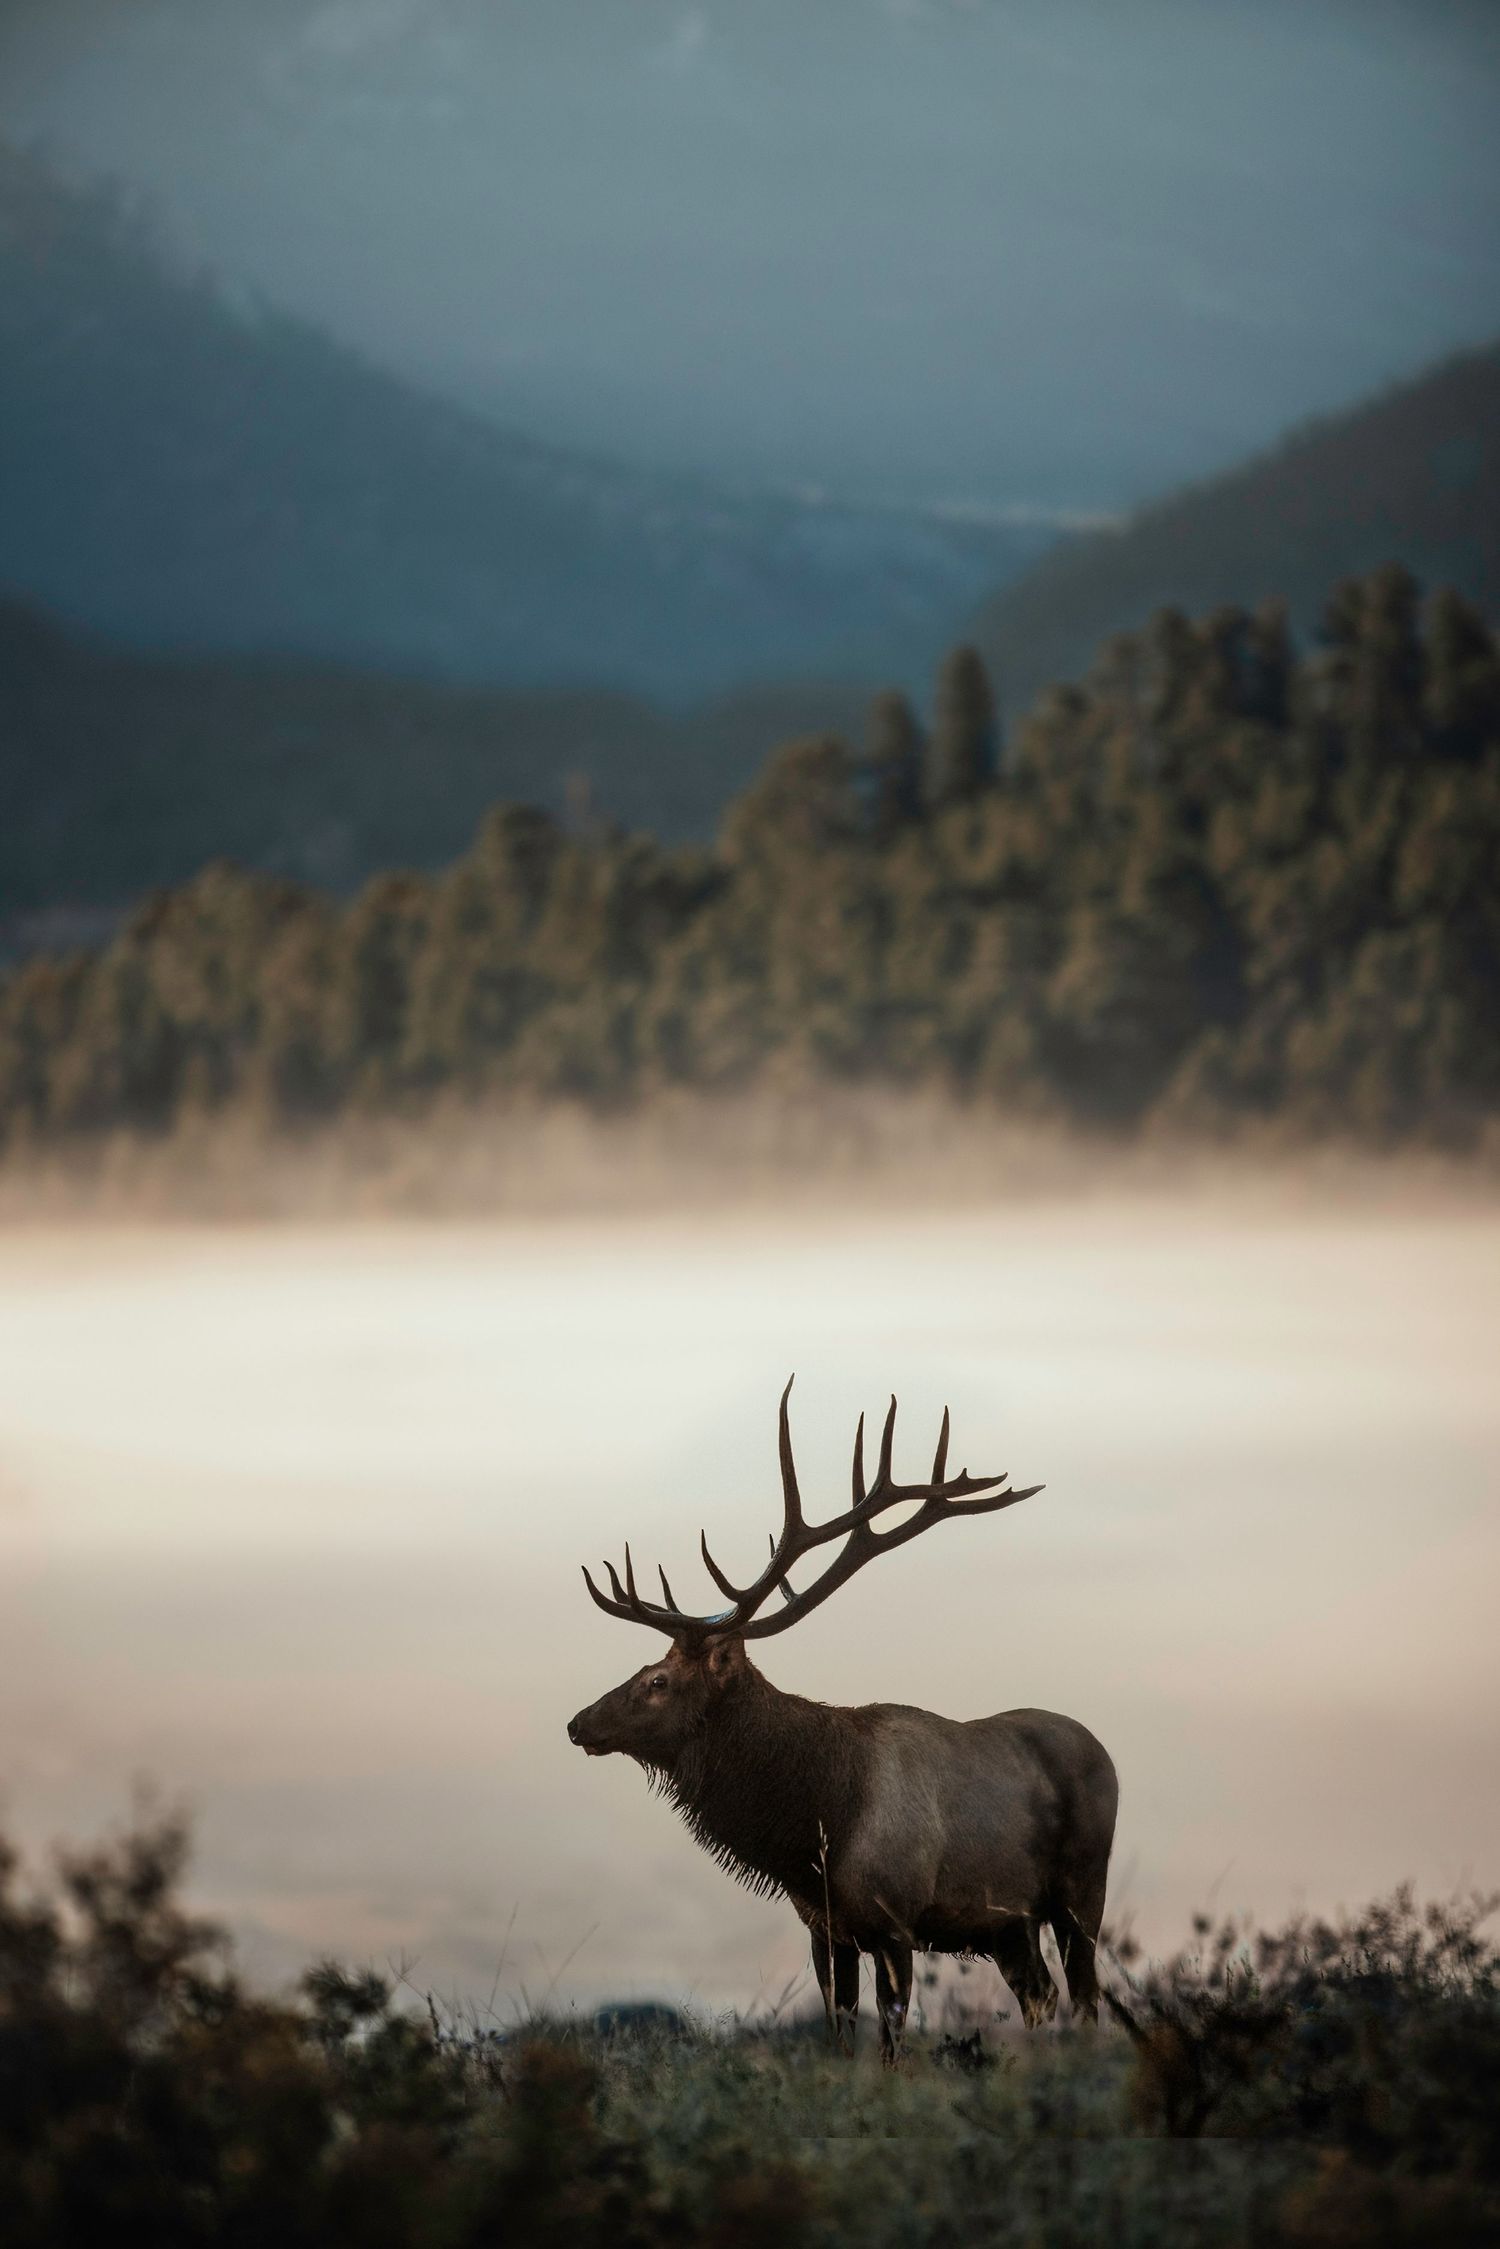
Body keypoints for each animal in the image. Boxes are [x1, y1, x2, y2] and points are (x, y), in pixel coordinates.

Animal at [567, 1380, 1117, 2061]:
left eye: (658, 1682)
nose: (578, 1723)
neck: (817, 1825)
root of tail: (1105, 1753)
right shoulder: (825, 1928)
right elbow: (839, 2029)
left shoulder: (895, 1920)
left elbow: (891, 2043)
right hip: (1010, 1925)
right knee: (1041, 1995)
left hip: (1082, 1891)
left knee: (1086, 1998)